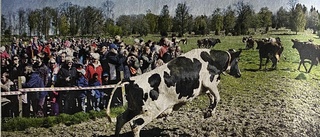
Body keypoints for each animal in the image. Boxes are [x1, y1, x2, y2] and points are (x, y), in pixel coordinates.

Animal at [106, 48, 241, 136]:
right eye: (237, 61)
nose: (239, 74)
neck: (211, 59)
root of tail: (132, 79)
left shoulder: (203, 87)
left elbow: (211, 97)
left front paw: (208, 112)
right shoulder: (210, 82)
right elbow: (217, 97)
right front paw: (210, 112)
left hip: (133, 108)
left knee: (120, 119)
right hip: (150, 111)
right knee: (135, 125)